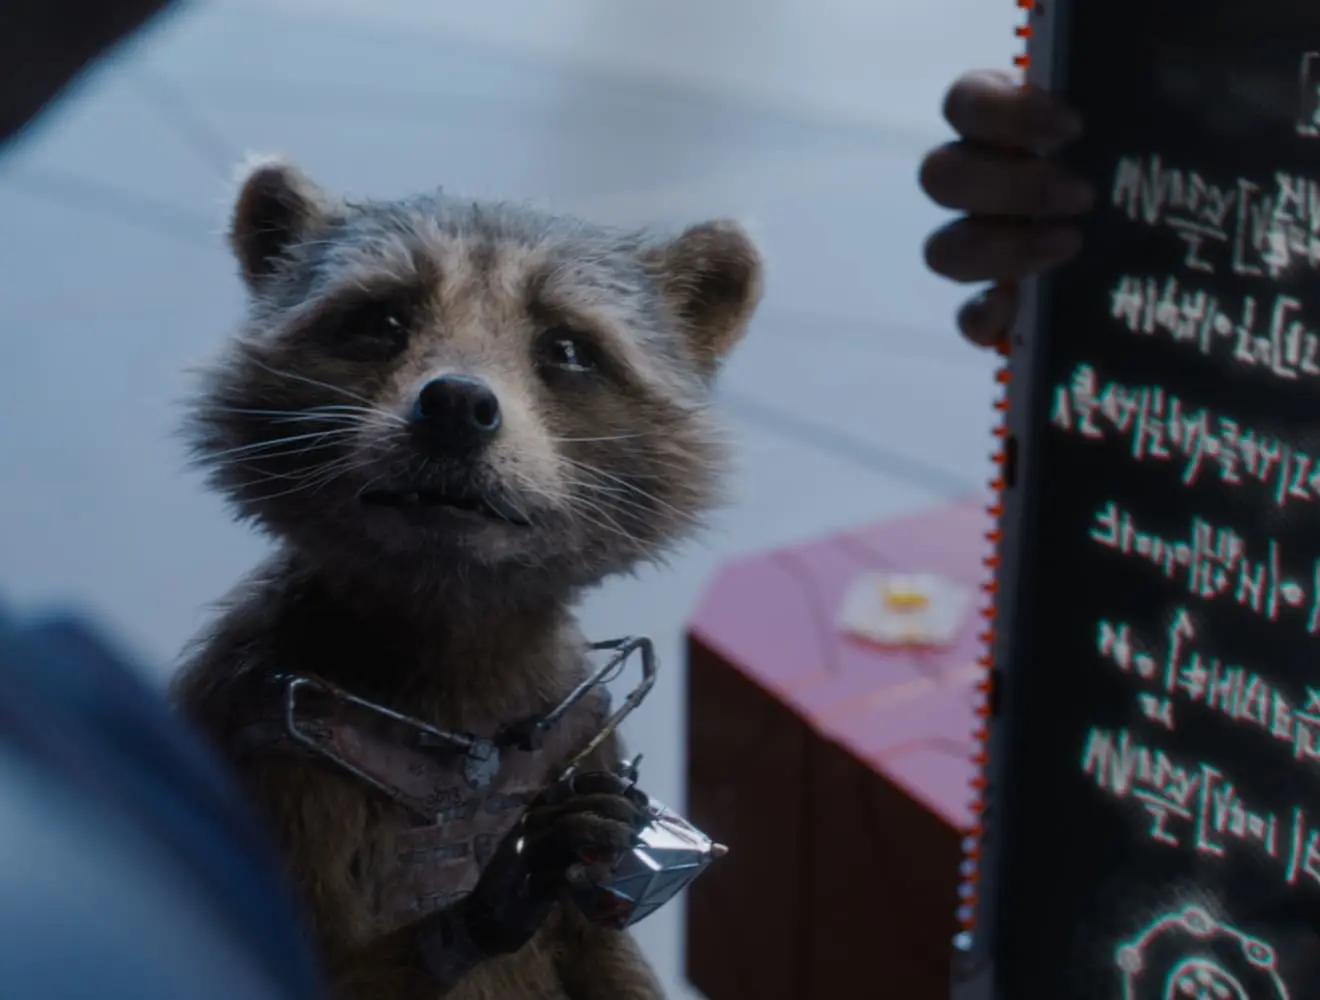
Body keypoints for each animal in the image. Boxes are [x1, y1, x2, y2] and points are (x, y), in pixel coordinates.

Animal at [170, 157, 762, 1000]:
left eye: (567, 349)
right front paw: (491, 898)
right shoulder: (257, 748)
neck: (454, 614)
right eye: (382, 321)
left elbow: (604, 947)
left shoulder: (582, 734)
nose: (454, 403)